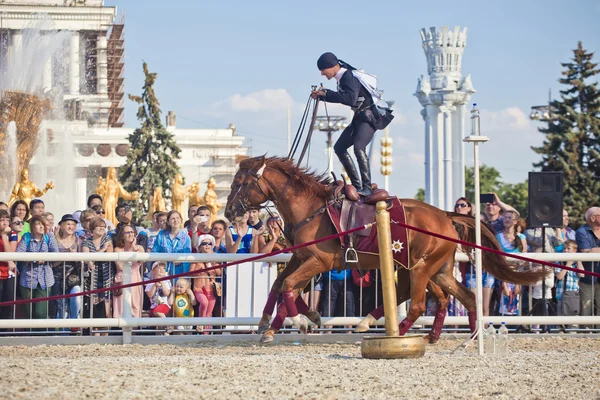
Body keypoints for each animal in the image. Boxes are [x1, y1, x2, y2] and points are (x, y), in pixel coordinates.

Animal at [225, 156, 544, 344]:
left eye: (241, 182)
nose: (229, 212)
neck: (311, 209)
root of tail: (445, 215)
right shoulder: (300, 256)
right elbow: (280, 284)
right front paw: (274, 323)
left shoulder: (319, 262)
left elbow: (289, 285)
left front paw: (300, 321)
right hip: (435, 270)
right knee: (463, 296)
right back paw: (457, 336)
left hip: (421, 268)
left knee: (417, 304)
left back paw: (396, 334)